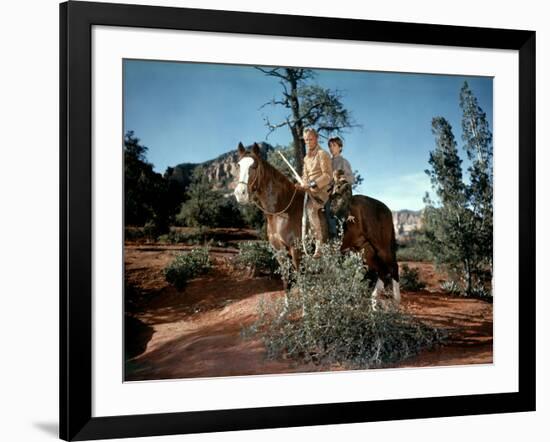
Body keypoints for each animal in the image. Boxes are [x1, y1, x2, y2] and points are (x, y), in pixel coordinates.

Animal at [234, 143, 402, 302]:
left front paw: (304, 310)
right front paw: (285, 311)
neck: (282, 210)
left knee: (393, 269)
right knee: (382, 273)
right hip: (366, 249)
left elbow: (301, 282)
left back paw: (396, 303)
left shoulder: (297, 251)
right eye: (238, 165)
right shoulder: (279, 252)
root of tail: (385, 208)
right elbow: (286, 282)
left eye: (254, 166)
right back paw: (373, 305)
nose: (240, 194)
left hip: (382, 248)